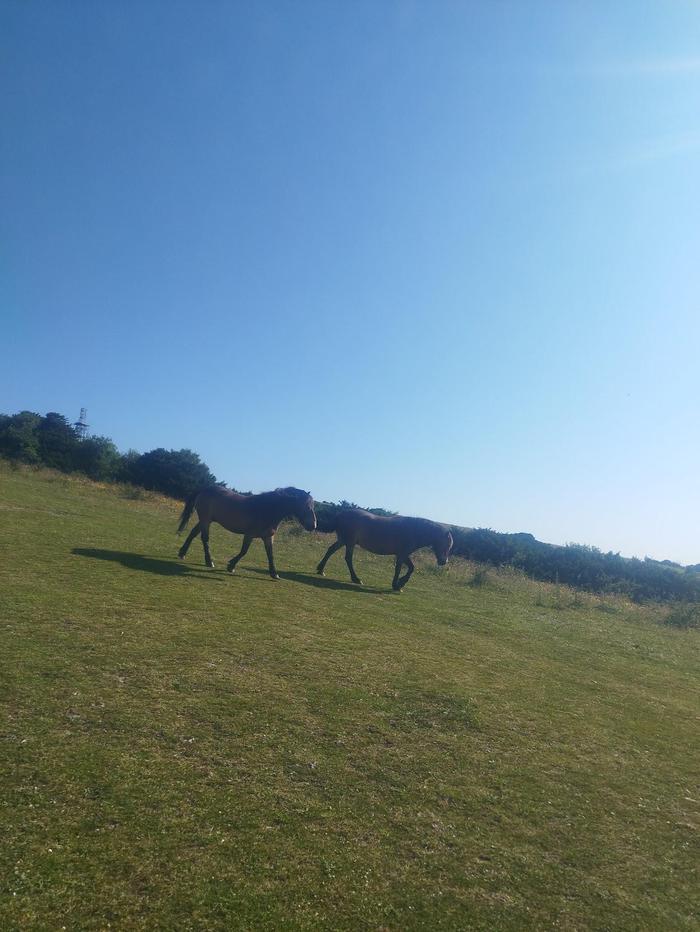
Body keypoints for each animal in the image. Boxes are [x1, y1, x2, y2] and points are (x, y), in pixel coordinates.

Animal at [318, 510, 454, 588]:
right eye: (447, 544)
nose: (444, 562)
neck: (415, 531)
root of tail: (340, 514)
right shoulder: (402, 554)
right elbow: (400, 569)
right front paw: (397, 585)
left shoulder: (403, 554)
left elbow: (411, 568)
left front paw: (401, 583)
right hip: (349, 543)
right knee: (348, 558)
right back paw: (356, 579)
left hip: (343, 541)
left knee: (330, 550)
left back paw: (321, 570)